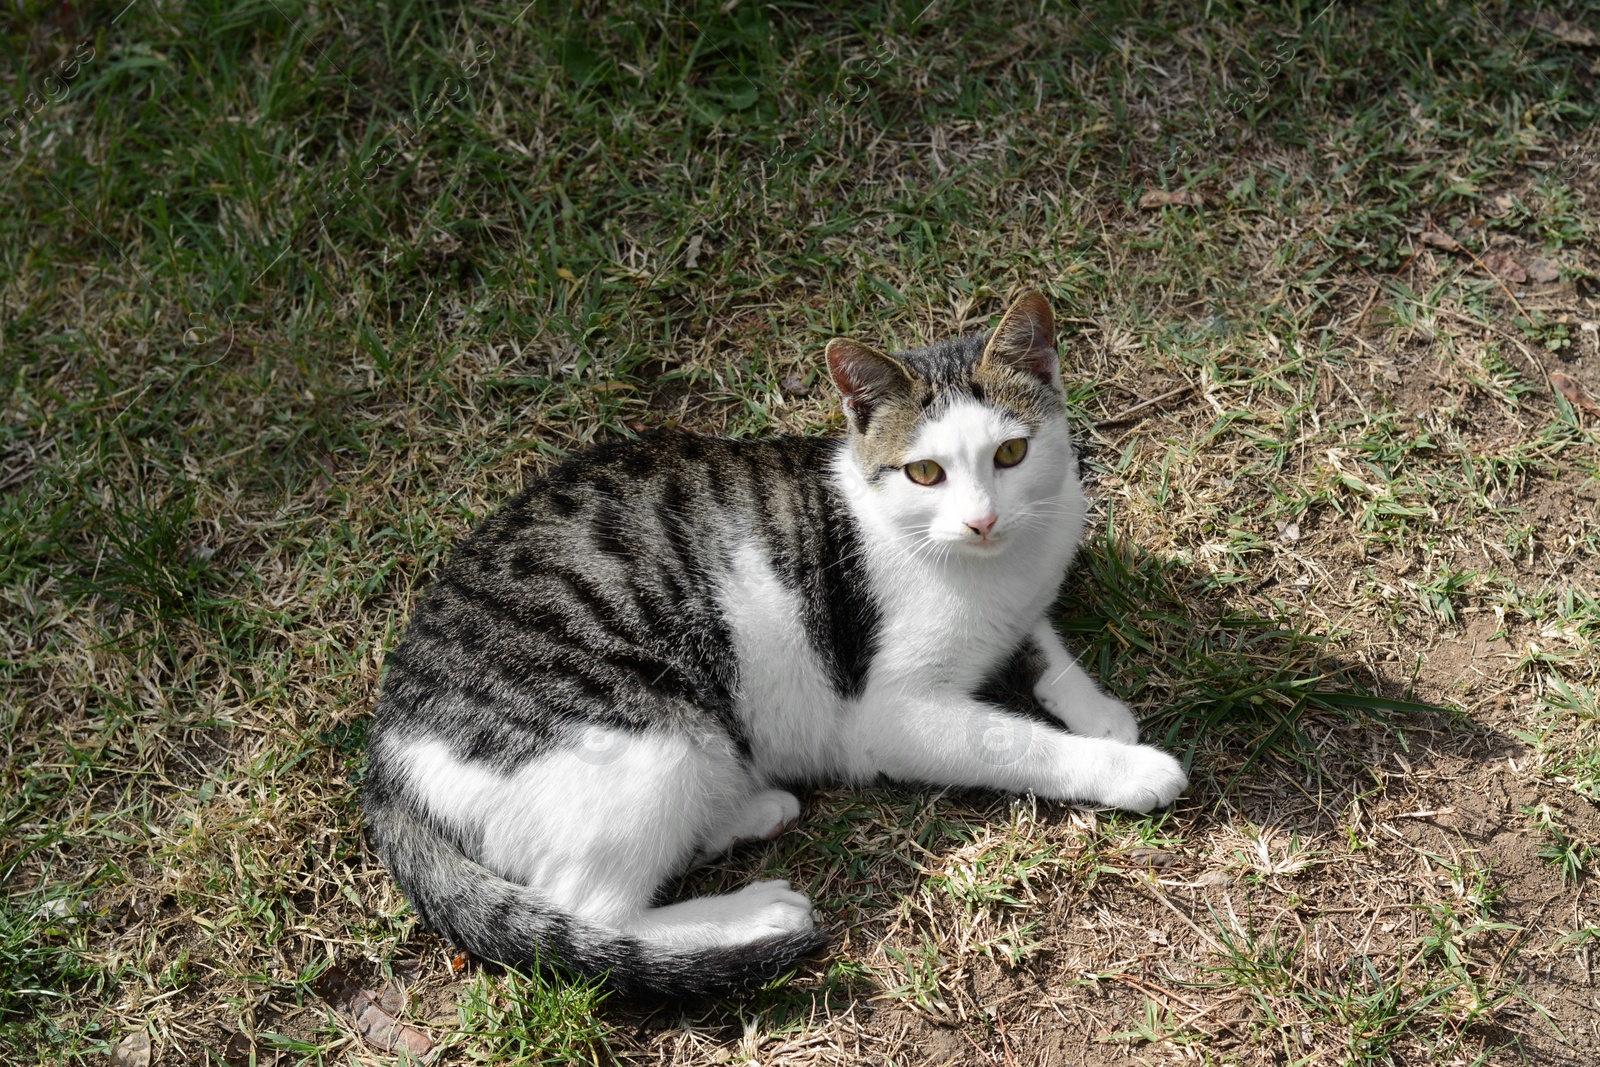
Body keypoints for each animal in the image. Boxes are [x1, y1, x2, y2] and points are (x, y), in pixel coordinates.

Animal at [366, 289, 1190, 1004]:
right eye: (926, 472)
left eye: (1012, 454)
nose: (982, 520)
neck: (993, 566)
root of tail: (388, 755)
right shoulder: (890, 716)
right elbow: (1016, 743)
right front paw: (1128, 768)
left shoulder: (1025, 594)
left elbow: (1040, 638)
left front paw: (1098, 708)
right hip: (649, 734)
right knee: (591, 911)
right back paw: (750, 918)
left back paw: (746, 812)